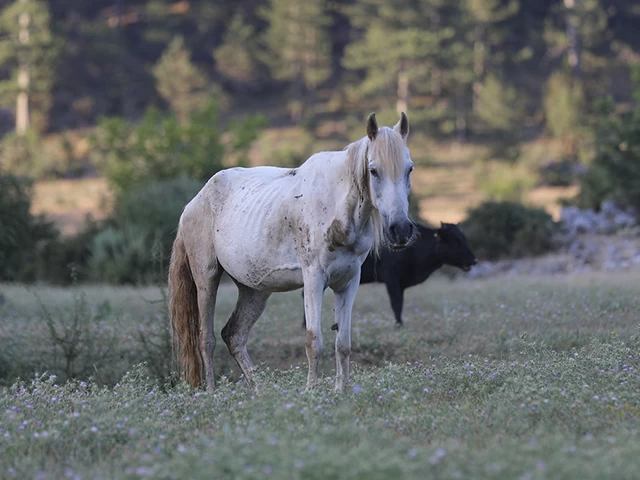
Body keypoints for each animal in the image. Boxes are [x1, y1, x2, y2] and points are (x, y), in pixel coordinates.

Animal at [169, 112, 416, 394]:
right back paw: (211, 393)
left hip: (254, 290)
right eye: (373, 170)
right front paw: (310, 393)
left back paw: (260, 393)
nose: (401, 230)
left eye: (409, 169)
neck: (337, 210)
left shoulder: (348, 283)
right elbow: (313, 341)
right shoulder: (313, 279)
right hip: (206, 279)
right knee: (206, 339)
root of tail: (193, 203)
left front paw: (340, 392)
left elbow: (343, 344)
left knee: (233, 335)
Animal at [302, 223, 476, 328]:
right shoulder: (392, 279)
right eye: (455, 241)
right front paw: (399, 326)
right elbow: (396, 303)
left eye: (465, 239)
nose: (474, 260)